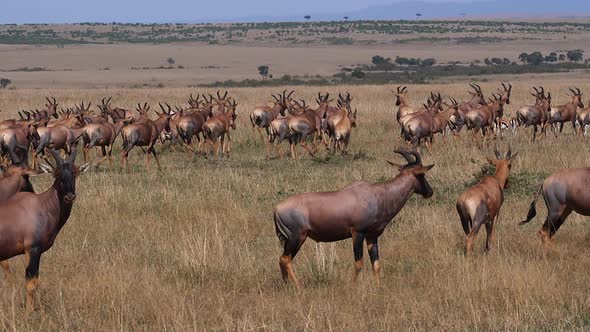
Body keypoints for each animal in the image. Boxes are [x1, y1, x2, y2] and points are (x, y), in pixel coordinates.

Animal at [276, 149, 438, 286]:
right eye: (421, 174)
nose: (430, 192)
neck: (377, 194)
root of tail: (277, 208)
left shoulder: (372, 236)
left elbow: (376, 264)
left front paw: (378, 288)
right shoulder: (357, 233)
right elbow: (358, 263)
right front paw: (352, 286)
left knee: (282, 259)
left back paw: (287, 285)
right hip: (297, 238)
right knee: (285, 259)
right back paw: (298, 287)